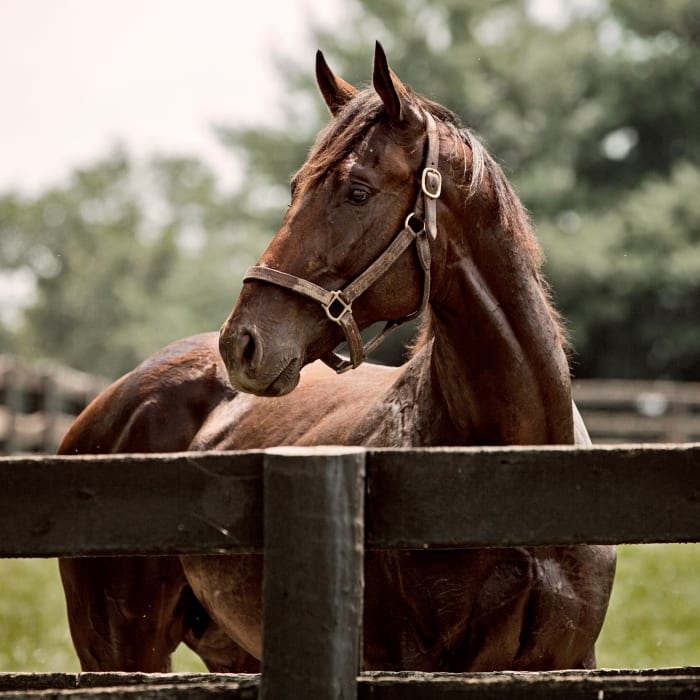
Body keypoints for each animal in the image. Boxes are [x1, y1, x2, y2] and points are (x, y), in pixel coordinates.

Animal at [61, 42, 616, 672]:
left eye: (357, 192)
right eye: (295, 187)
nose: (242, 343)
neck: (517, 467)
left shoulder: (569, 660)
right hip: (122, 651)